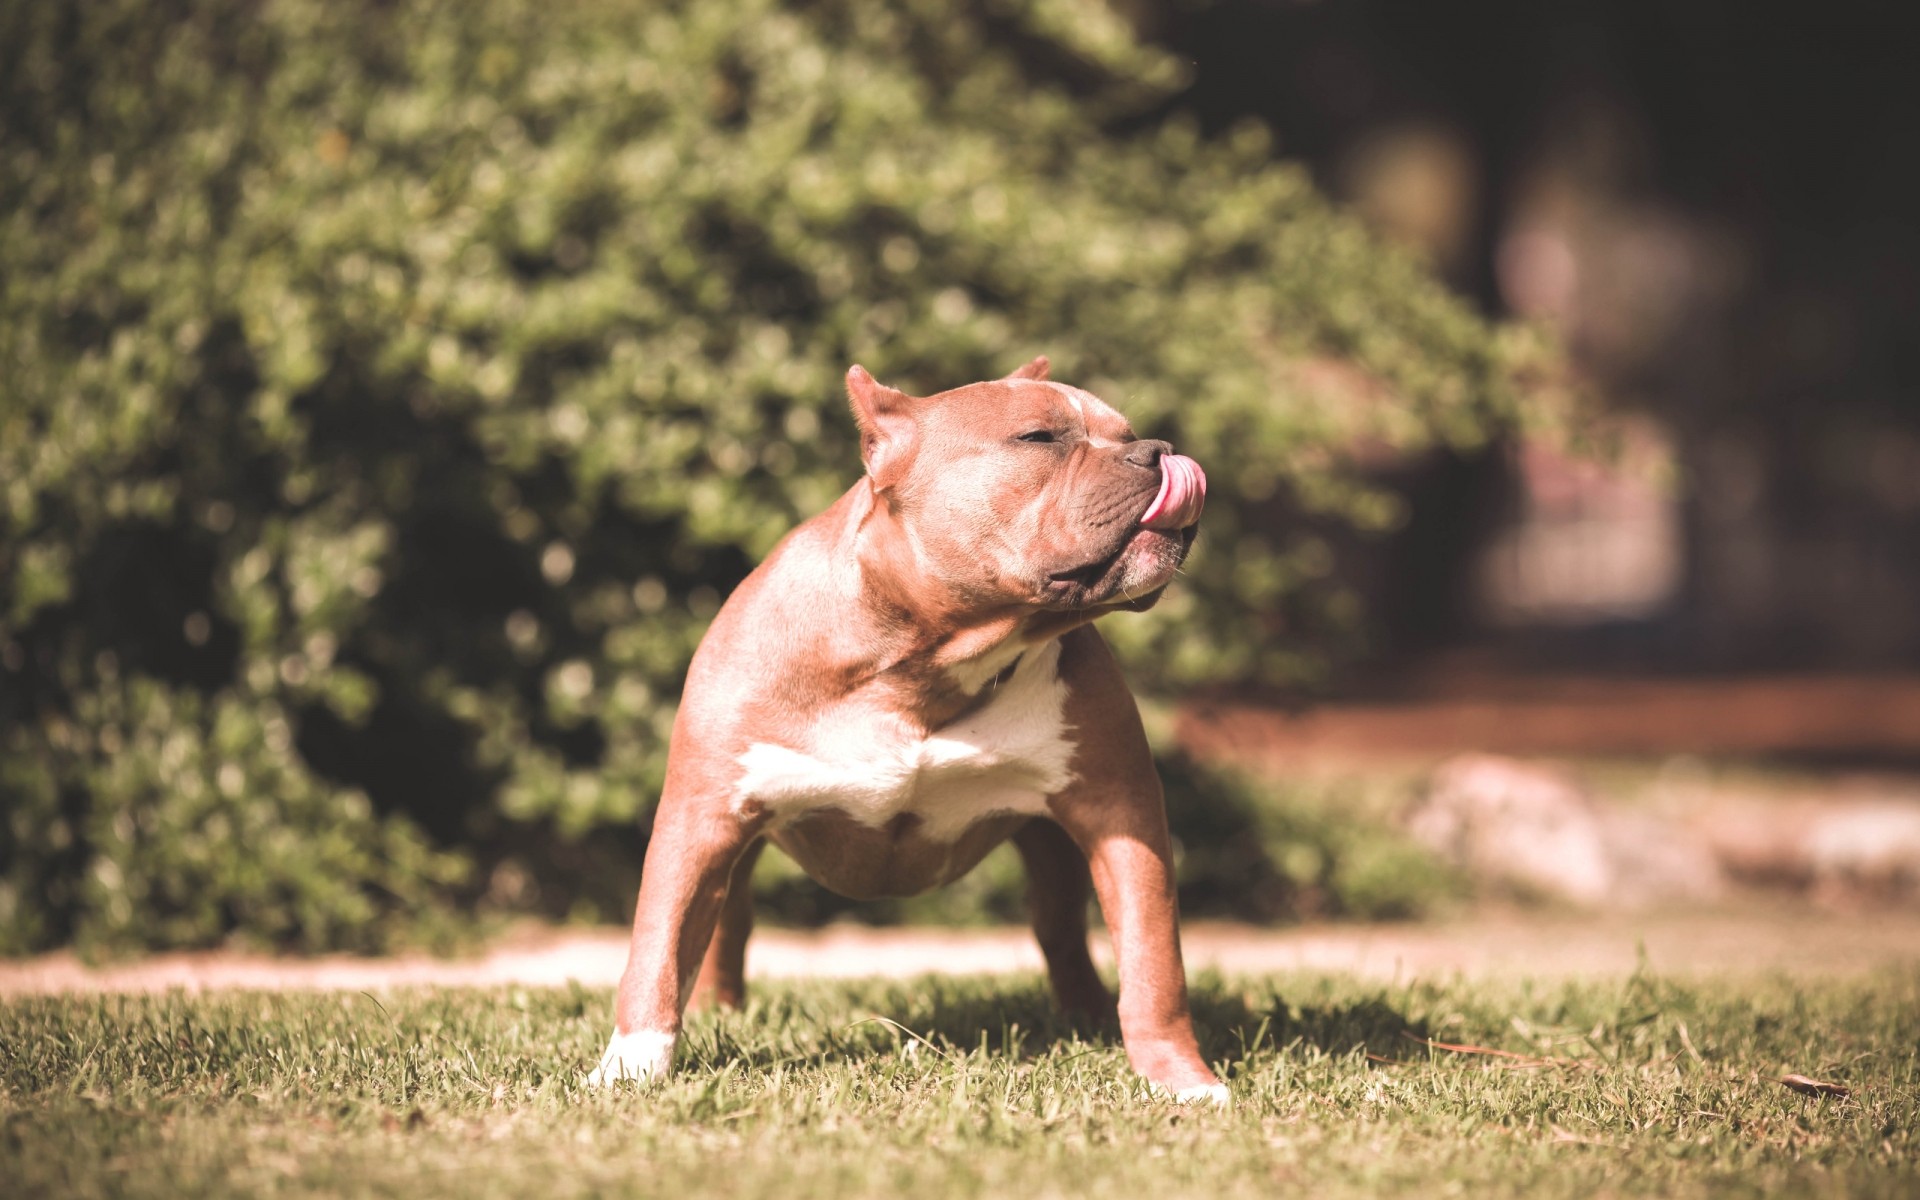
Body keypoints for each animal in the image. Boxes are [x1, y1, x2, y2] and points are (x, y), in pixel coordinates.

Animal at [587, 357, 1228, 1105]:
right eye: (1039, 437)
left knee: (1061, 929)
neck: (924, 664)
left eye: (1127, 433)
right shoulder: (701, 818)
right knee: (725, 930)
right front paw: (628, 1069)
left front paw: (1181, 1081)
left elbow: (1155, 963)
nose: (1157, 451)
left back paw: (1090, 1017)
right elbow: (658, 950)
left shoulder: (1122, 815)